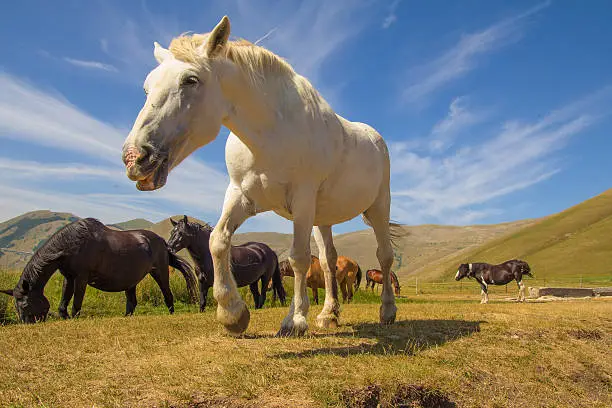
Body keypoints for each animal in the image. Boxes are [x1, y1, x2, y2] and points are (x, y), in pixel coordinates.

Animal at [0, 218, 196, 324]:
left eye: (25, 305)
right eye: (16, 306)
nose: (27, 324)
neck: (72, 243)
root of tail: (163, 242)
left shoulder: (81, 277)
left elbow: (77, 300)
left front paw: (74, 317)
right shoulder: (68, 276)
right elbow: (64, 299)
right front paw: (64, 316)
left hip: (160, 272)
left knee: (167, 294)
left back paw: (171, 313)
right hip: (131, 281)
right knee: (132, 302)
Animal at [122, 15, 404, 336]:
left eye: (190, 80)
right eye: (147, 87)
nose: (135, 158)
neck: (270, 134)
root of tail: (375, 138)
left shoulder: (302, 201)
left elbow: (298, 258)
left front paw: (294, 320)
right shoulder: (240, 195)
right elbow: (218, 241)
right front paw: (232, 314)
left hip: (378, 207)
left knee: (384, 255)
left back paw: (387, 311)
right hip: (322, 219)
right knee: (329, 261)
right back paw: (328, 314)